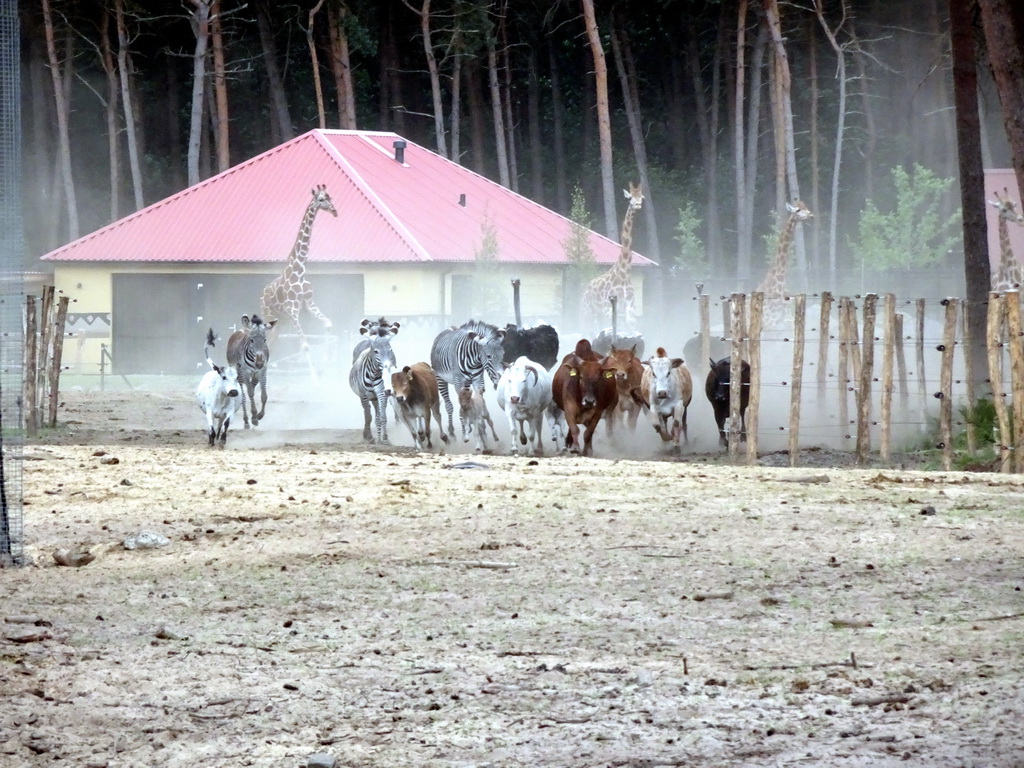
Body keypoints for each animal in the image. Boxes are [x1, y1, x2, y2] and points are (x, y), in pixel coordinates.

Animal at [260, 183, 335, 348]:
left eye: (330, 197)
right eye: (321, 199)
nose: (335, 211)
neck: (300, 270)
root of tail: (262, 294)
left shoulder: (308, 304)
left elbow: (328, 324)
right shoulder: (292, 310)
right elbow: (305, 345)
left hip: (281, 321)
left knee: (271, 342)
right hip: (269, 315)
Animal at [581, 185, 643, 333]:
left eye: (641, 197)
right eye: (631, 197)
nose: (638, 204)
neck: (624, 273)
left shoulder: (630, 311)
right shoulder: (609, 309)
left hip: (597, 315)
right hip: (587, 312)